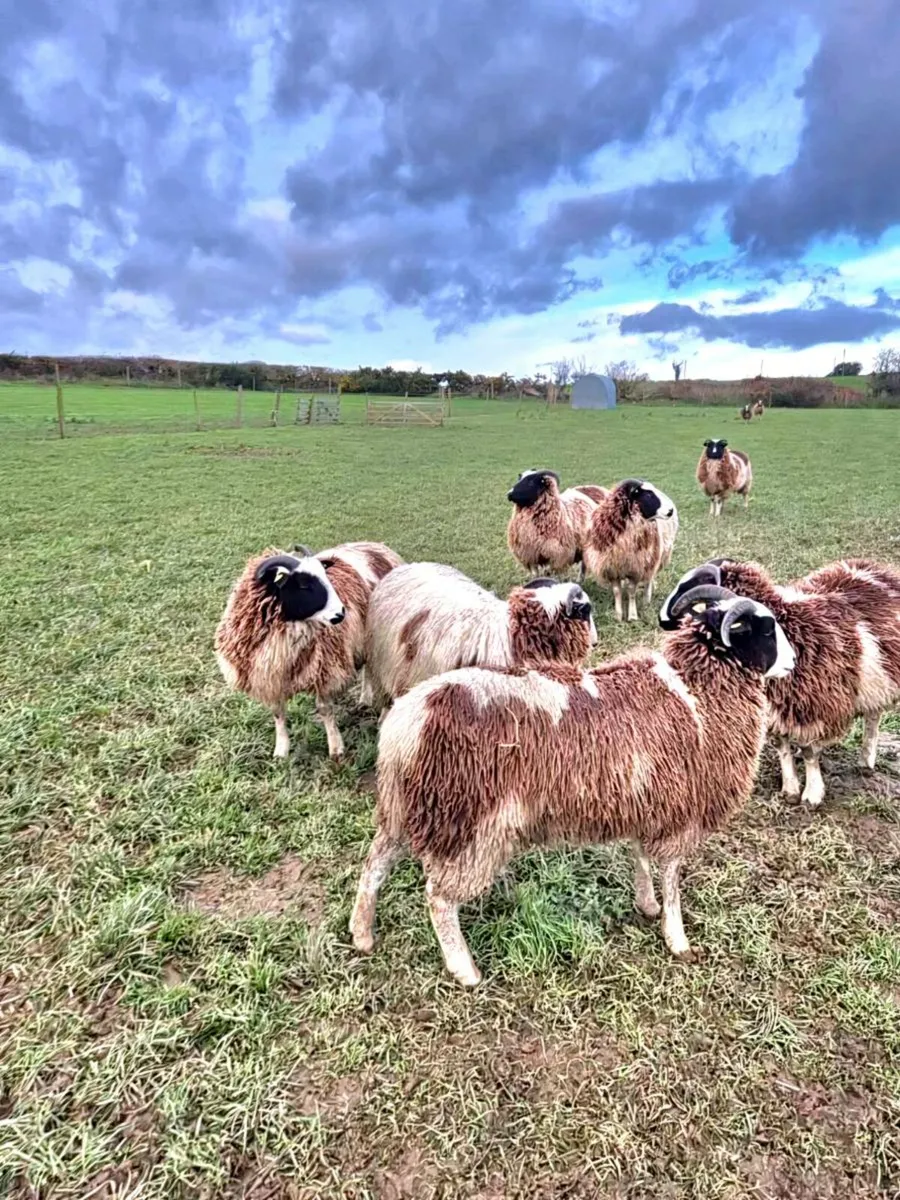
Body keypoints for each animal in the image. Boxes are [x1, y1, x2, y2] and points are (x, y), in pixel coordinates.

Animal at [215, 541, 403, 759]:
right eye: (304, 584)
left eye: (325, 575)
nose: (341, 614)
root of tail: (375, 545)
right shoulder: (270, 677)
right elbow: (278, 713)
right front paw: (281, 750)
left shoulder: (325, 670)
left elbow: (324, 710)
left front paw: (336, 748)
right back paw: (364, 699)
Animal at [349, 582, 795, 986]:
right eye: (765, 630)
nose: (792, 662)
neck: (695, 690)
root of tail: (407, 722)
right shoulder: (679, 811)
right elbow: (670, 877)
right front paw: (677, 938)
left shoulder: (648, 799)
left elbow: (640, 857)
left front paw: (646, 904)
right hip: (469, 824)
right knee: (439, 898)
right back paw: (465, 970)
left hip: (410, 806)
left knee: (374, 865)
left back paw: (362, 933)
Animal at [582, 478, 678, 621]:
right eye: (648, 494)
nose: (670, 510)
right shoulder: (612, 568)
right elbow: (617, 591)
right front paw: (618, 615)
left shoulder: (636, 568)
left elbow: (632, 591)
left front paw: (632, 616)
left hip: (654, 557)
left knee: (649, 580)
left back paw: (646, 601)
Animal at [660, 557, 900, 807]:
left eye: (692, 590)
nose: (662, 620)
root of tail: (877, 567)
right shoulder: (776, 712)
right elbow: (782, 747)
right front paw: (790, 790)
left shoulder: (814, 709)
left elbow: (810, 752)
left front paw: (812, 795)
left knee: (873, 718)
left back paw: (866, 760)